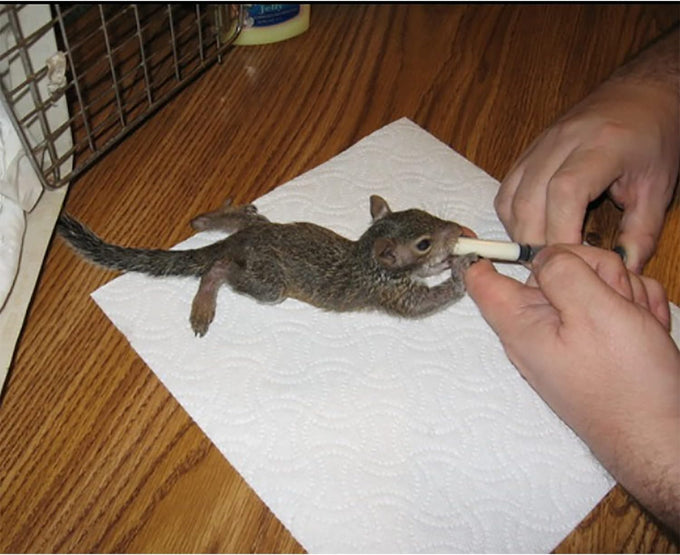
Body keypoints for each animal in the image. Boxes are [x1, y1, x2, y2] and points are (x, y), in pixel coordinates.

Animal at [57, 195, 477, 336]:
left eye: (423, 213)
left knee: (232, 223)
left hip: (256, 227)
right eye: (422, 243)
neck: (366, 256)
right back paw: (203, 303)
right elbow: (422, 304)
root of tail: (240, 242)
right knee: (218, 269)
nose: (456, 230)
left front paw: (456, 254)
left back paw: (207, 219)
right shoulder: (388, 291)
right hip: (268, 283)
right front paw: (461, 269)